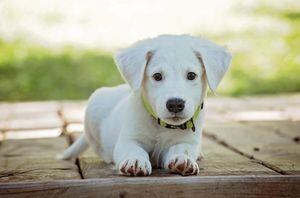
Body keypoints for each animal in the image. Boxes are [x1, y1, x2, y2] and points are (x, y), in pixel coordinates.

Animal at [60, 34, 230, 176]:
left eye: (191, 75)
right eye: (157, 76)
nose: (175, 104)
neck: (161, 126)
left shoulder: (187, 141)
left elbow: (182, 149)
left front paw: (183, 159)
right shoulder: (127, 140)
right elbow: (134, 150)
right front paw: (135, 161)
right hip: (94, 106)